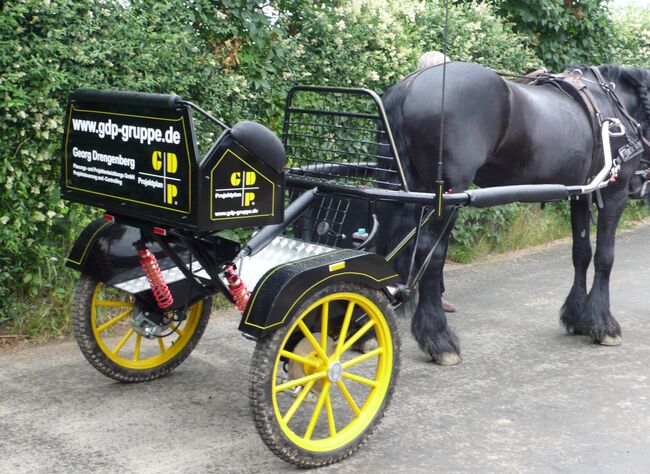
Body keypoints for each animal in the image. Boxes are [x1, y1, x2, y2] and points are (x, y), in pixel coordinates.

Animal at [380, 61, 648, 364]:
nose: (640, 184)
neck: (613, 106)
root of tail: (410, 85)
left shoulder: (581, 193)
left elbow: (581, 253)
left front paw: (577, 317)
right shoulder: (615, 193)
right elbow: (605, 256)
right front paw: (603, 324)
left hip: (402, 188)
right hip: (446, 197)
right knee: (431, 255)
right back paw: (438, 338)